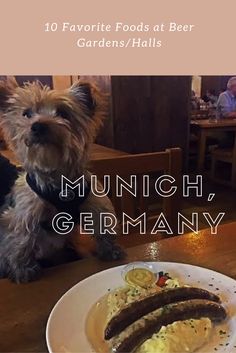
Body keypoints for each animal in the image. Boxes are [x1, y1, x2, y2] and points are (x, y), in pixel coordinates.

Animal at [0, 78, 123, 282]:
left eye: (63, 113)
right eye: (26, 114)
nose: (38, 126)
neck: (58, 178)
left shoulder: (93, 200)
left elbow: (101, 222)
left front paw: (110, 249)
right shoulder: (24, 212)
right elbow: (21, 237)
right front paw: (23, 268)